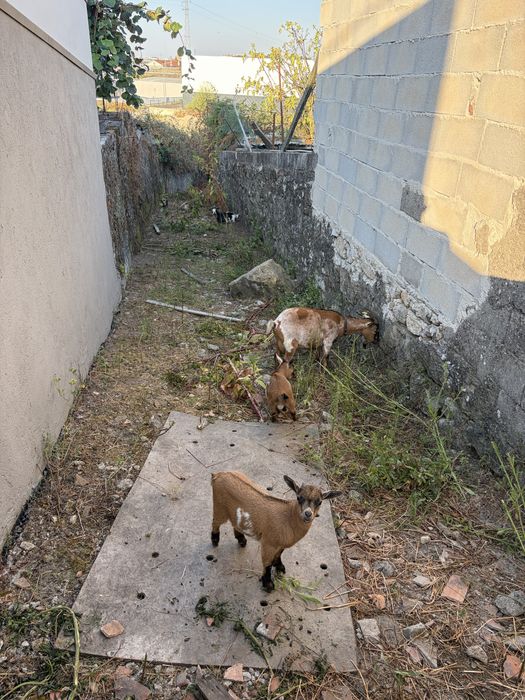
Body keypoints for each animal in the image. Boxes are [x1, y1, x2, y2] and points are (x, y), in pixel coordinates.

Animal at [211, 471, 342, 591]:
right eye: (299, 498)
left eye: (319, 502)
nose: (308, 514)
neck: (289, 517)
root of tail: (218, 474)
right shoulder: (268, 543)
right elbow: (267, 563)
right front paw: (268, 584)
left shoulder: (280, 544)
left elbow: (278, 555)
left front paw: (280, 567)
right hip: (219, 508)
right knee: (215, 522)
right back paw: (215, 540)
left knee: (235, 523)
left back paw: (241, 540)